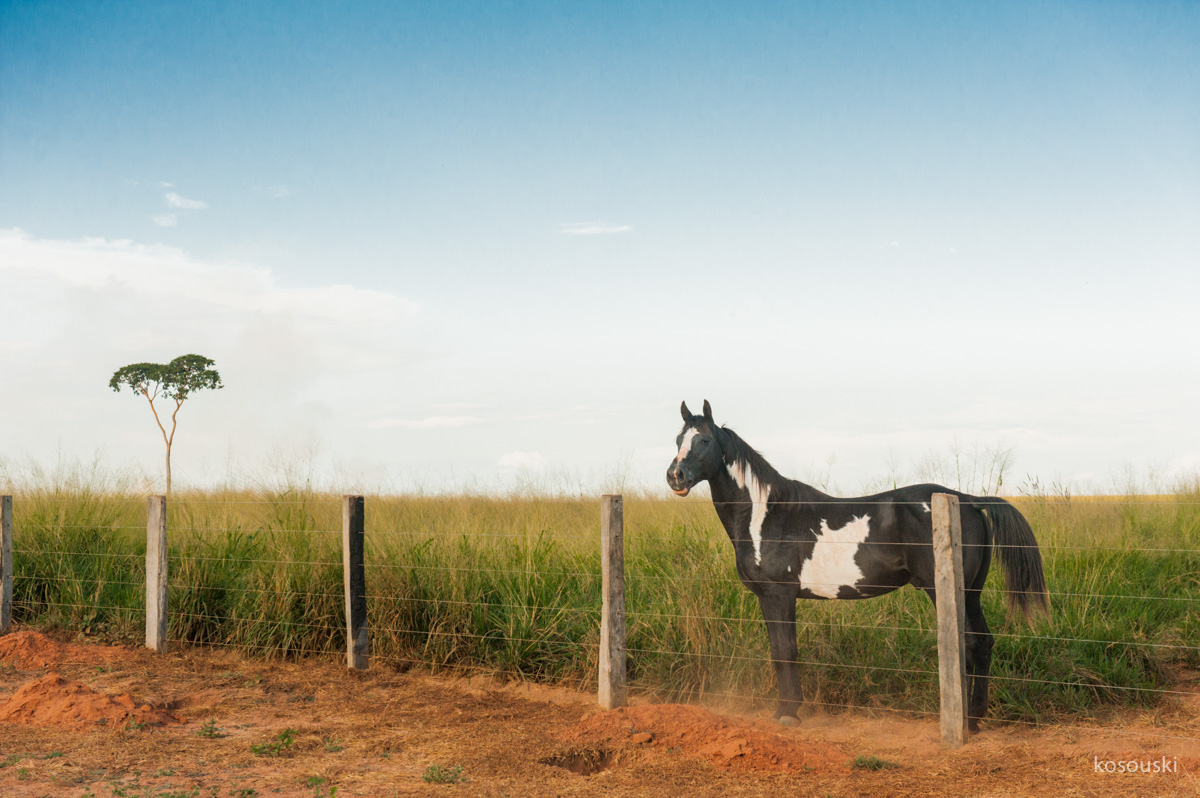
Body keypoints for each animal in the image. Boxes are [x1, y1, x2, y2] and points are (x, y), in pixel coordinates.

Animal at [666, 400, 1048, 730]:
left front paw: (789, 712)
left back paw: (964, 721)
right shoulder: (768, 597)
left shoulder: (779, 594)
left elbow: (786, 651)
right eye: (677, 439)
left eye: (704, 440)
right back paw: (977, 718)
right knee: (983, 642)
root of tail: (966, 500)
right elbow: (778, 651)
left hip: (945, 590)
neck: (765, 515)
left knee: (967, 644)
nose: (676, 476)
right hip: (971, 592)